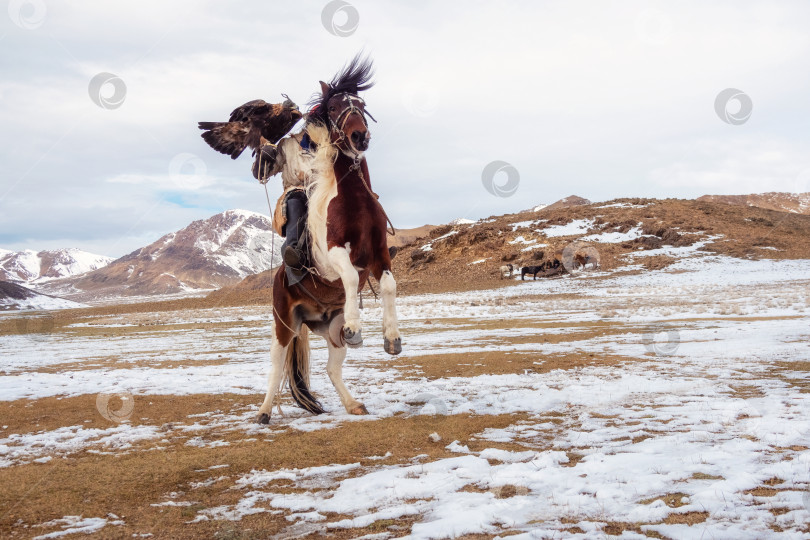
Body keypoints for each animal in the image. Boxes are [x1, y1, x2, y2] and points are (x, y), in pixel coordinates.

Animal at [256, 57, 400, 424]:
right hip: (284, 325)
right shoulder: (334, 256)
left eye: (361, 104)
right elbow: (348, 276)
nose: (359, 136)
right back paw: (263, 412)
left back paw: (353, 403)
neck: (354, 203)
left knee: (332, 369)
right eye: (334, 107)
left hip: (330, 330)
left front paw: (392, 338)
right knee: (276, 365)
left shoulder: (379, 254)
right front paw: (357, 325)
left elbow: (389, 286)